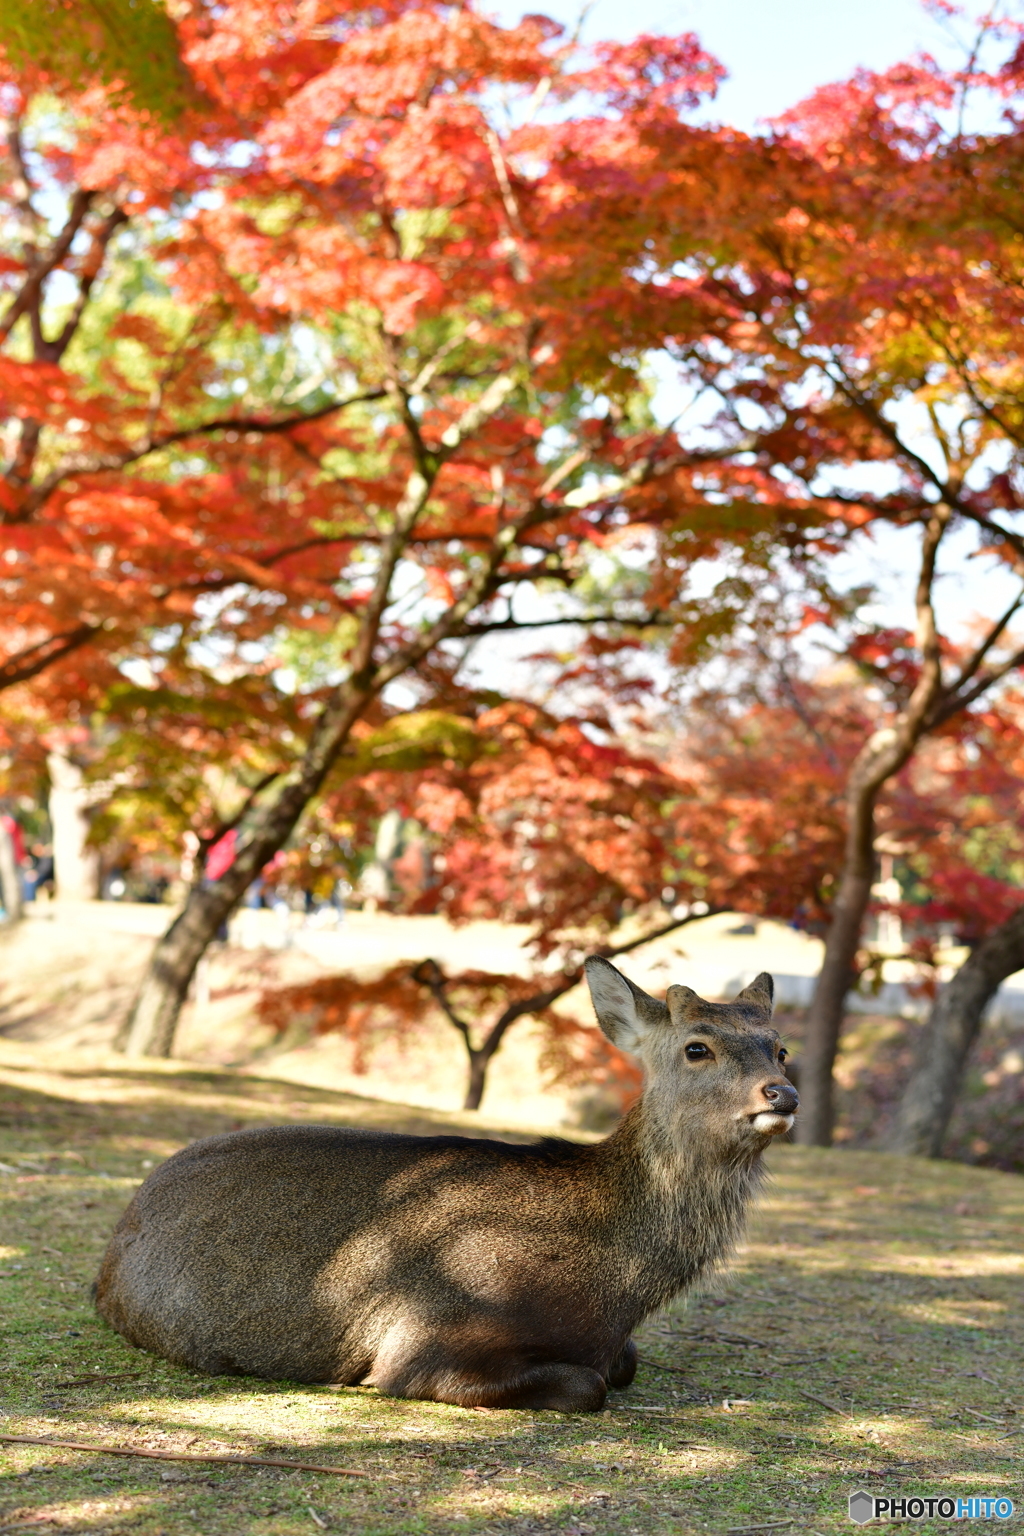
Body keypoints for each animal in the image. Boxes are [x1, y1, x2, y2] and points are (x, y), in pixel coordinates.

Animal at [95, 964, 798, 1406]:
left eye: (780, 1047)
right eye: (697, 1047)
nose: (782, 1094)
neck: (615, 1290)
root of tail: (106, 1261)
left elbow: (622, 1364)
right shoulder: (422, 1337)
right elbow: (590, 1385)